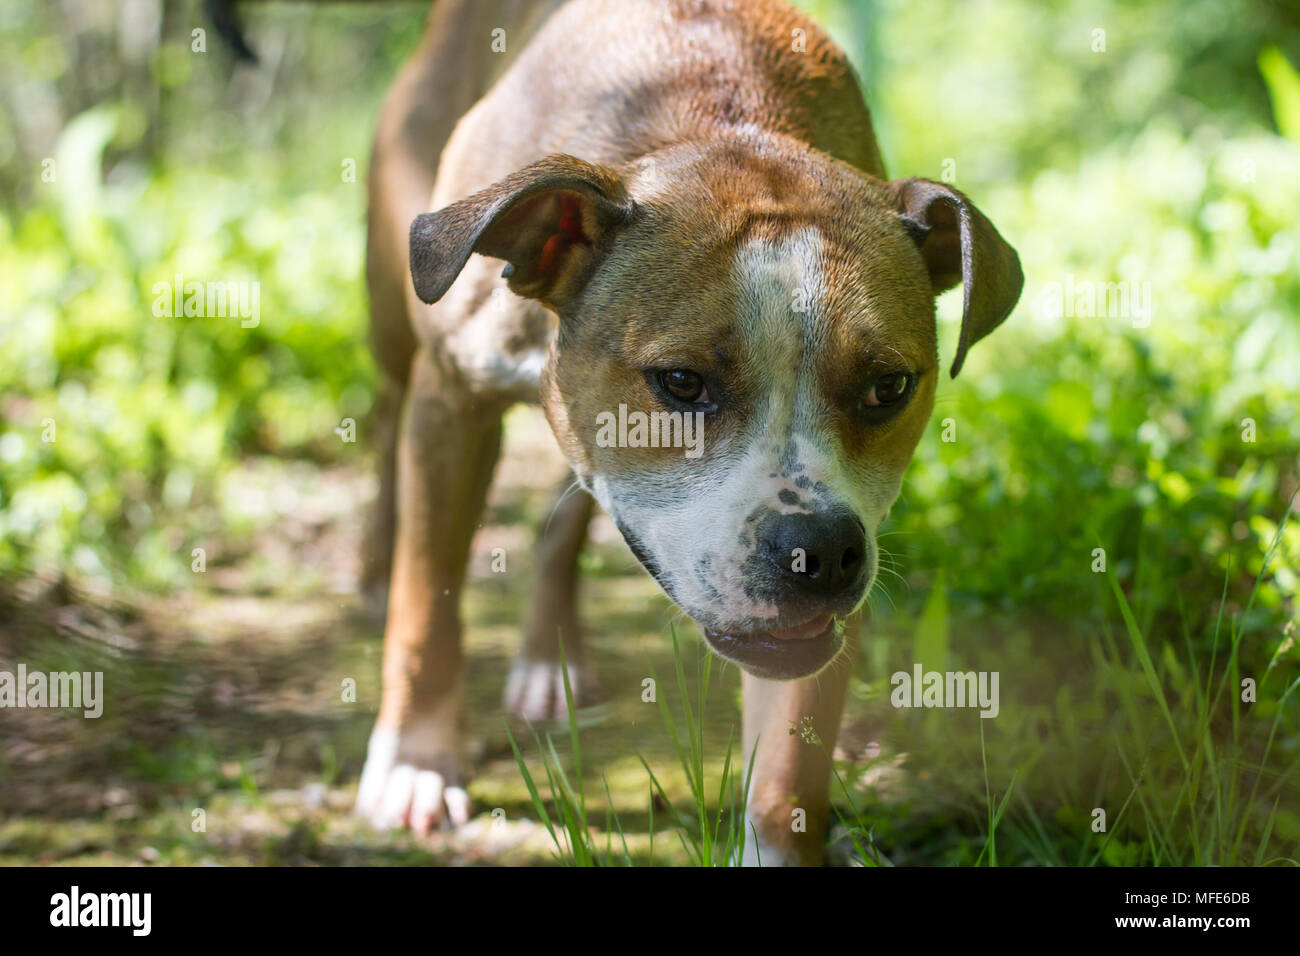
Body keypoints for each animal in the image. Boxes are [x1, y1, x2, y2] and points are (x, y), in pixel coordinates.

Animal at [351, 0, 1019, 868]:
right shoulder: (451, 399)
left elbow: (791, 768)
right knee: (386, 426)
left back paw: (548, 659)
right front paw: (416, 765)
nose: (819, 551)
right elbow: (427, 603)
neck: (717, 121)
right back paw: (374, 568)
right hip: (397, 323)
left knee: (566, 516)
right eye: (681, 382)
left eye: (888, 388)